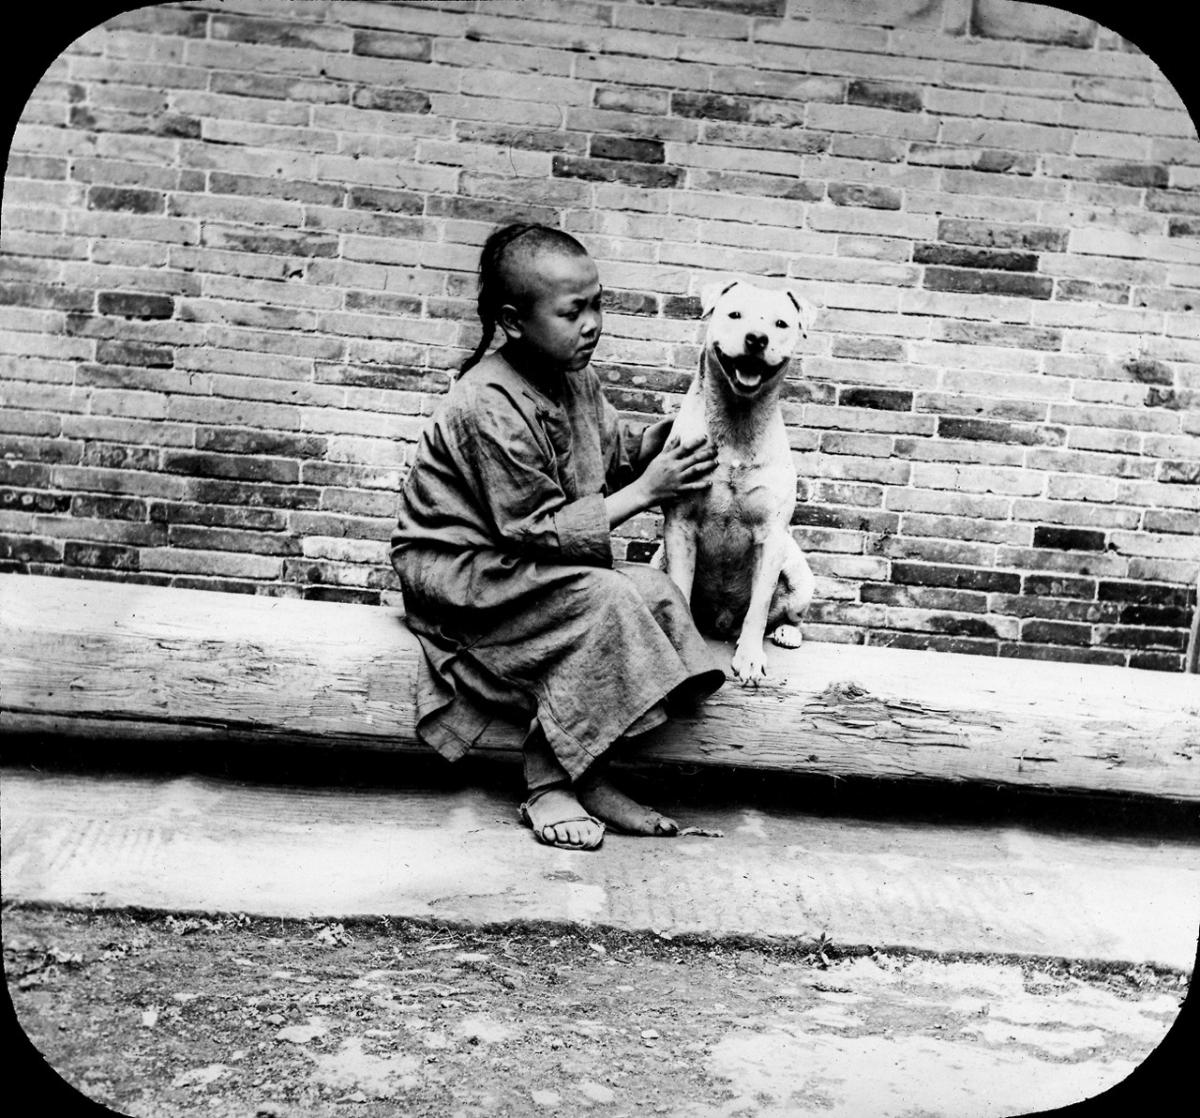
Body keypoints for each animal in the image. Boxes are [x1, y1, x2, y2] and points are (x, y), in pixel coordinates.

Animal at [657, 281, 816, 681]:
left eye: (780, 323)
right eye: (734, 314)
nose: (757, 338)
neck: (737, 418)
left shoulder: (771, 535)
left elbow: (759, 605)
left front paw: (750, 659)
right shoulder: (680, 525)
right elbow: (679, 588)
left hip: (800, 574)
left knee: (786, 612)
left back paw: (787, 633)